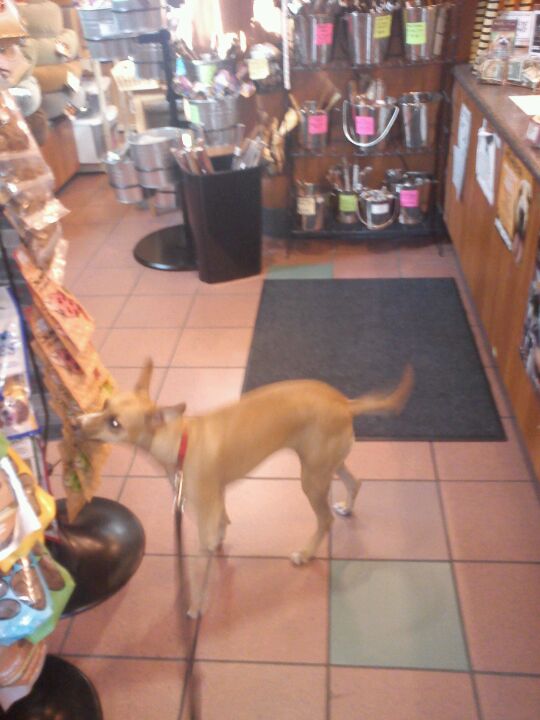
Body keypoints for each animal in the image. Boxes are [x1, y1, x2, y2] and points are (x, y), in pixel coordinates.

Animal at [76, 360, 413, 612]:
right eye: (104, 403)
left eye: (115, 423)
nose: (76, 422)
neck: (181, 440)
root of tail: (345, 402)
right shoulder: (217, 500)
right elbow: (223, 524)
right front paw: (221, 543)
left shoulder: (204, 519)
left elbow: (199, 566)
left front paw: (195, 605)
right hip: (327, 465)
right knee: (355, 482)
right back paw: (347, 505)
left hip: (311, 479)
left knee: (325, 520)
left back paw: (306, 553)